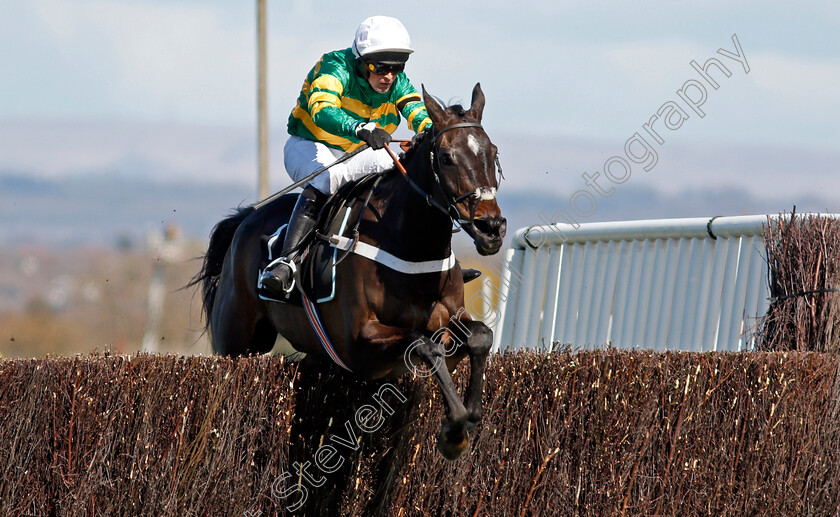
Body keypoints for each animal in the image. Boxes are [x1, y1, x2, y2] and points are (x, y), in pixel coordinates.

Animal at [194, 84, 506, 460]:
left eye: (492, 152)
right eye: (446, 157)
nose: (491, 228)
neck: (410, 247)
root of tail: (246, 219)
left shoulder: (450, 318)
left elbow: (480, 336)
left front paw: (469, 417)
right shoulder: (360, 343)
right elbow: (423, 344)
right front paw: (455, 431)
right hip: (236, 340)